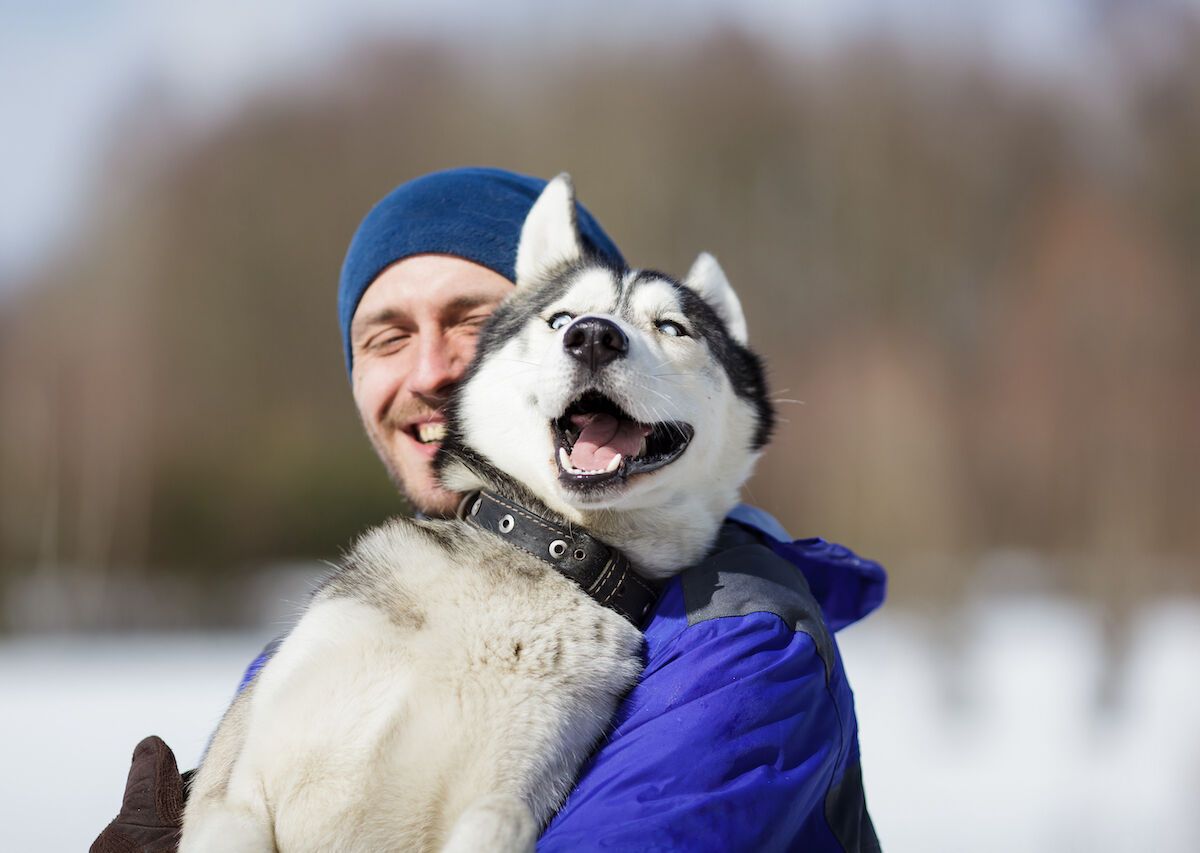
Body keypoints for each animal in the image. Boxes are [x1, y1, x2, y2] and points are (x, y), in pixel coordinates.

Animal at [182, 175, 772, 853]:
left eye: (673, 327)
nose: (593, 336)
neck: (548, 544)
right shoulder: (235, 784)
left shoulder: (515, 784)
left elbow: (498, 815)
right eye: (561, 318)